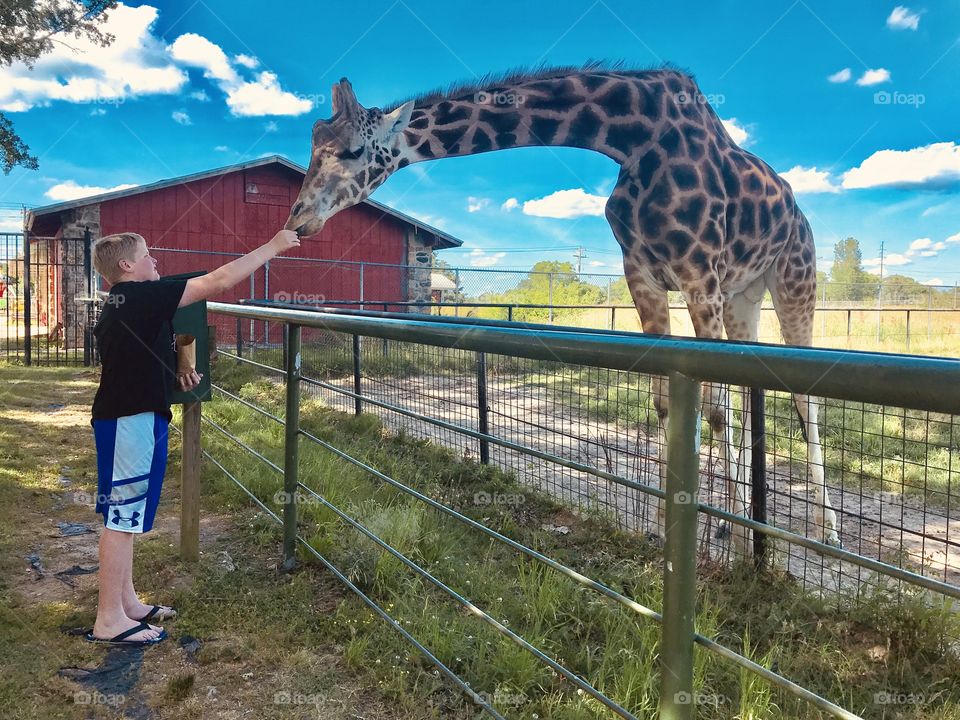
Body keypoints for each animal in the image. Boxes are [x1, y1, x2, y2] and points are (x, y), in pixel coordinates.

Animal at [286, 63, 842, 552]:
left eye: (353, 150)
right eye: (313, 147)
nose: (298, 219)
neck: (632, 138)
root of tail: (799, 211)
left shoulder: (699, 269)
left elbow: (714, 406)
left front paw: (725, 537)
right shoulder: (642, 274)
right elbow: (668, 401)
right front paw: (665, 531)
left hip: (793, 278)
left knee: (804, 397)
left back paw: (824, 532)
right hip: (743, 295)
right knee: (754, 387)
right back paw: (740, 522)